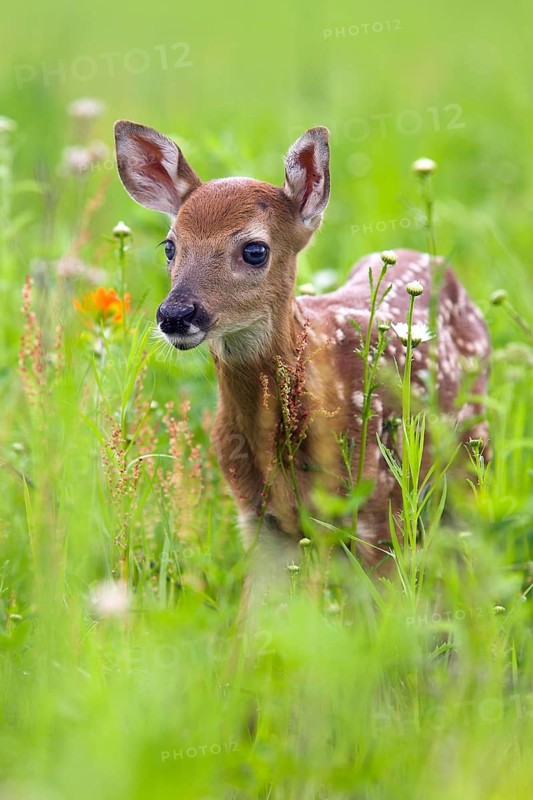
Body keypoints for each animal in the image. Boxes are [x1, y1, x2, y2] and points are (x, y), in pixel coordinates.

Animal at [114, 121, 491, 608]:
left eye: (255, 249)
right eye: (170, 247)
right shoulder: (259, 519)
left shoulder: (378, 506)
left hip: (470, 457)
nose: (175, 314)